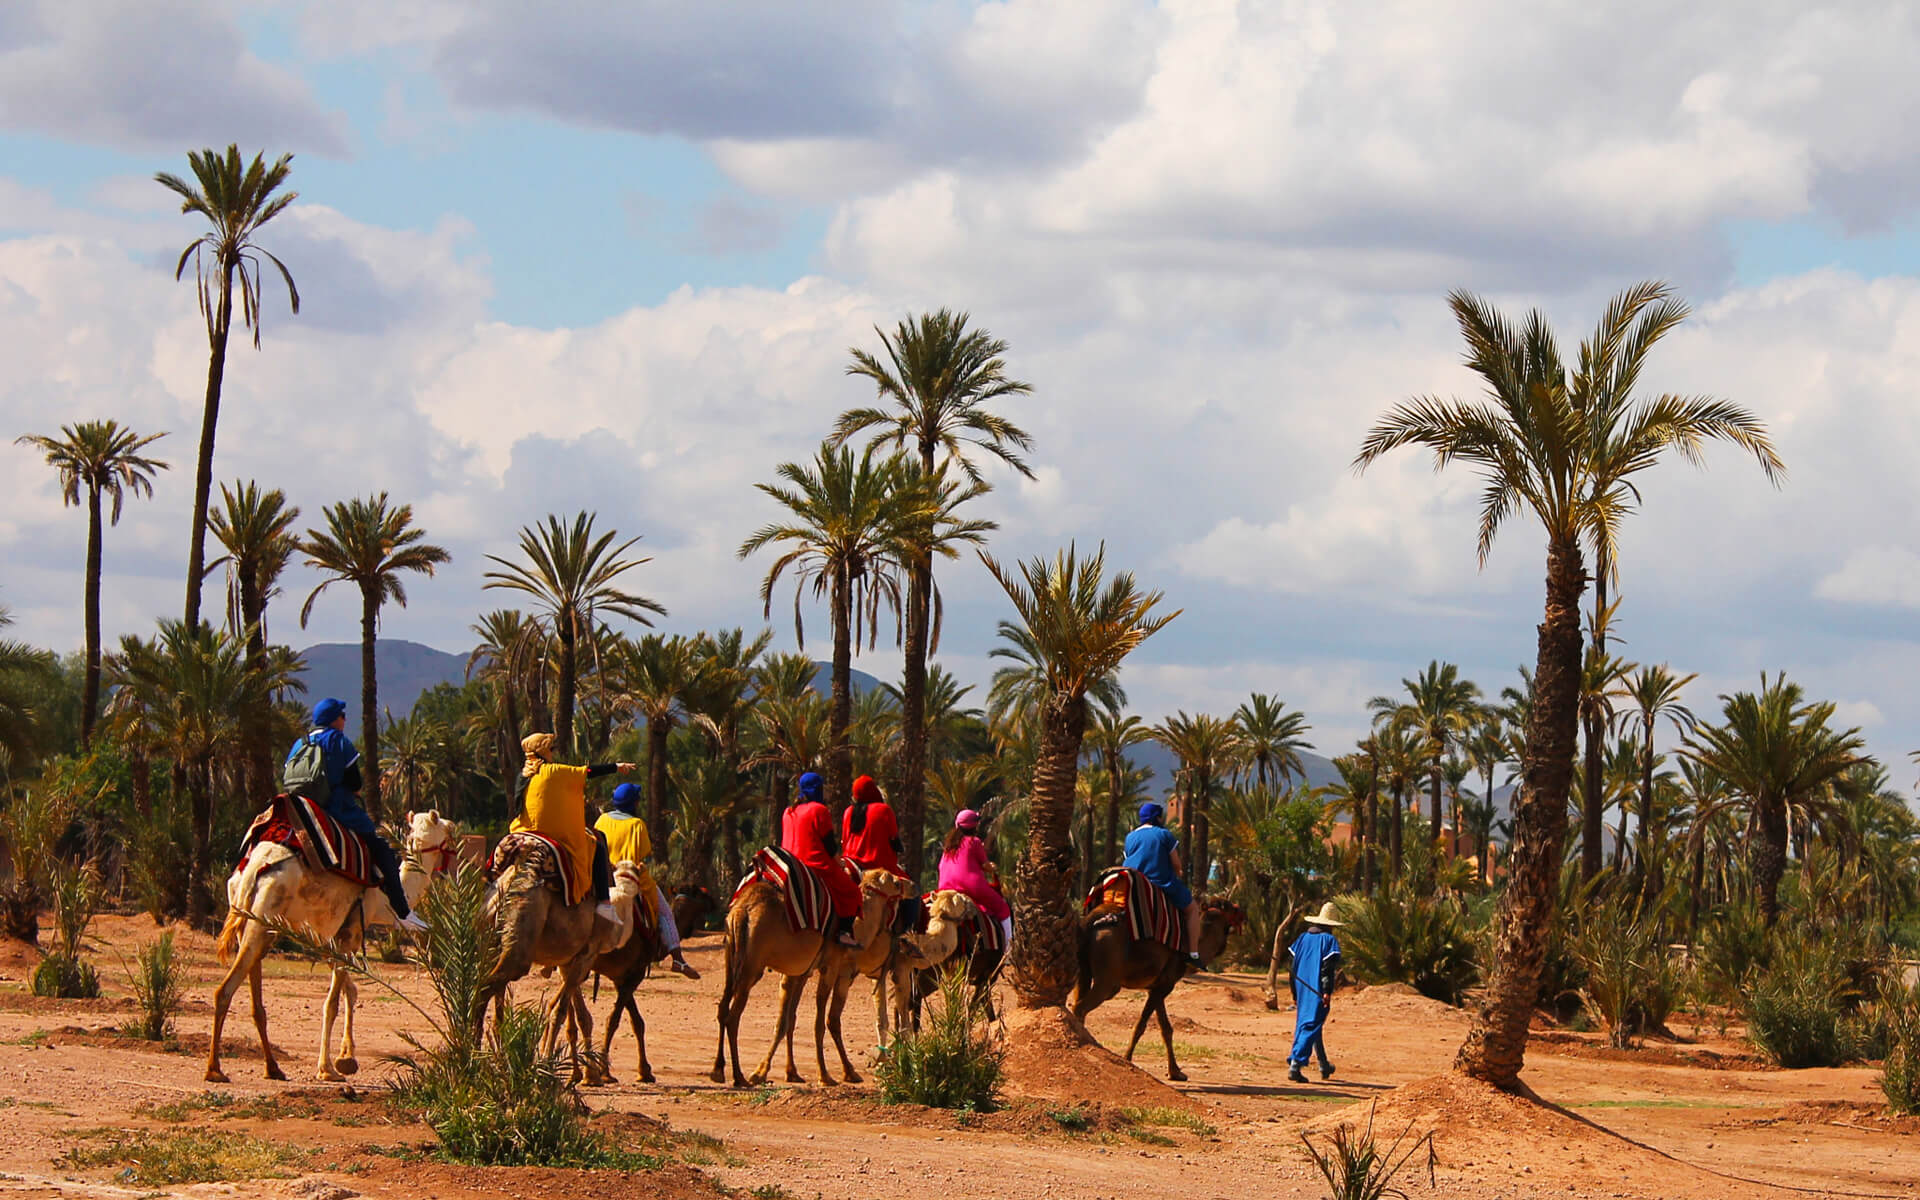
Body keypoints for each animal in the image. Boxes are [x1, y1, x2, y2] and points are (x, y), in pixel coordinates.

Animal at [204, 810, 458, 1082]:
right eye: (447, 829)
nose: (455, 835)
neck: (384, 898)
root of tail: (254, 868)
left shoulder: (329, 936)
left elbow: (351, 990)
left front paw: (346, 1058)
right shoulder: (352, 930)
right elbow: (332, 1003)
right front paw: (328, 1069)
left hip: (254, 920)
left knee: (255, 998)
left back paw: (272, 1068)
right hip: (264, 918)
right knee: (225, 989)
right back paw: (215, 1069)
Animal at [710, 864, 910, 1090]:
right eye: (896, 882)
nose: (910, 884)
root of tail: (742, 911)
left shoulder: (801, 973)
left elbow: (788, 1020)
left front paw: (789, 1072)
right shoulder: (834, 967)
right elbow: (824, 1022)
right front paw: (830, 1074)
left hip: (731, 956)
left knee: (723, 1008)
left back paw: (718, 1070)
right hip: (752, 965)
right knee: (733, 1016)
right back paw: (739, 1076)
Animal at [1067, 894, 1244, 1082]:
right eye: (1230, 908)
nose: (1242, 913)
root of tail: (1091, 920)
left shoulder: (1157, 986)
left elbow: (1166, 1028)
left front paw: (1175, 1072)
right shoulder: (1166, 985)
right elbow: (1141, 1025)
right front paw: (1127, 1059)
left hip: (1083, 969)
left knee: (1078, 1001)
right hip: (1108, 979)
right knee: (1081, 1006)